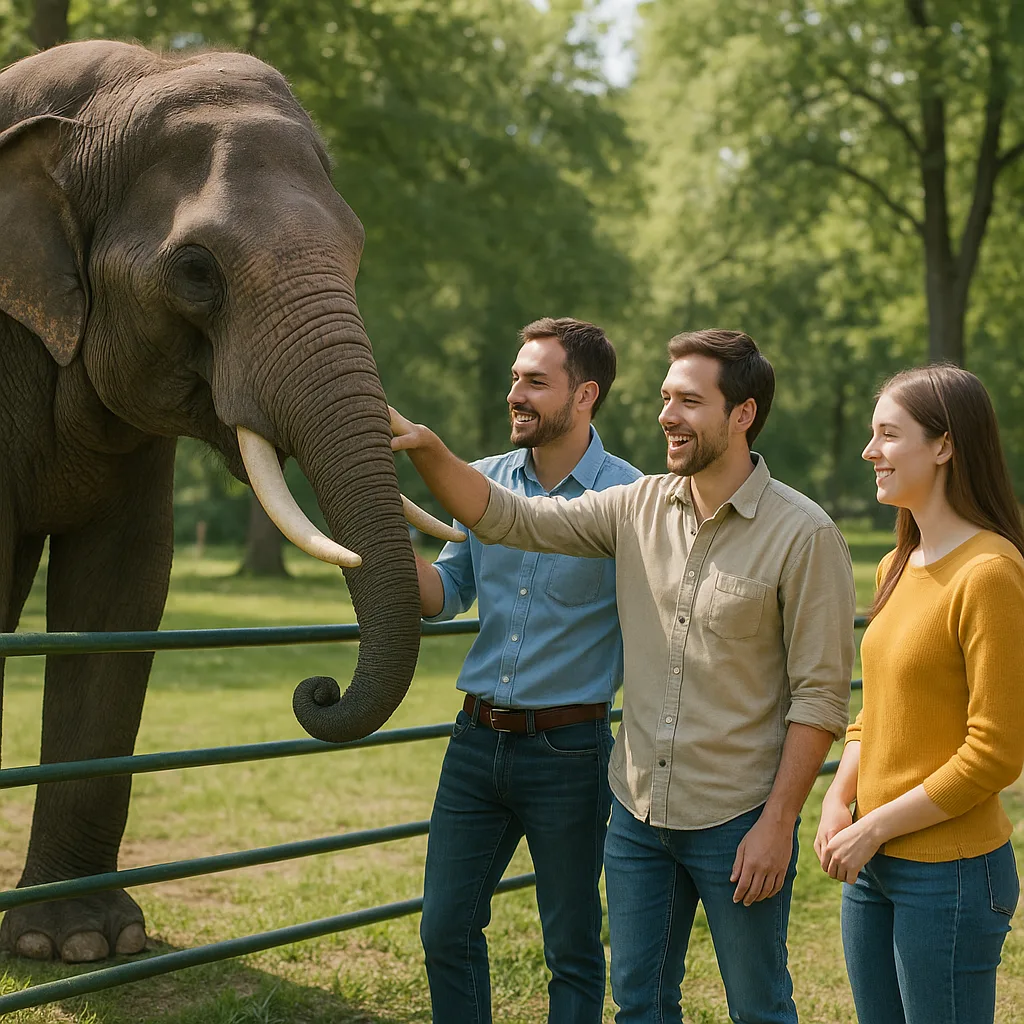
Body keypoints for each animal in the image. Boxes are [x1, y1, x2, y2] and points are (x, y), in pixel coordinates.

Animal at [0, 39, 460, 963]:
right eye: (195, 270)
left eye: (358, 250)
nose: (318, 690)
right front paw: (66, 948)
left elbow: (125, 585)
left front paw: (80, 946)